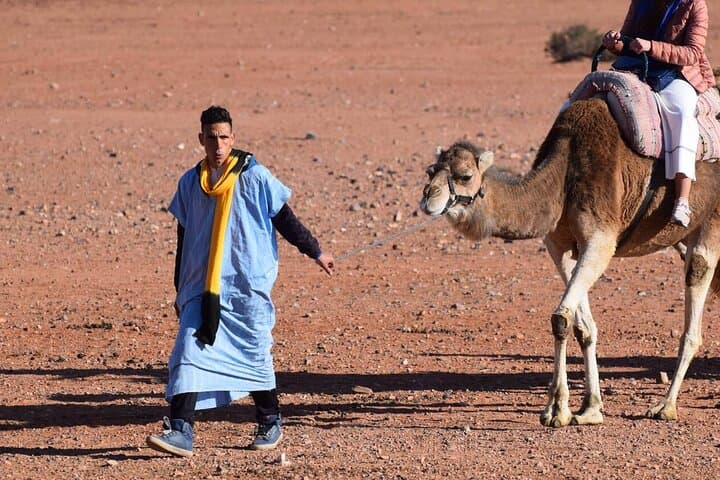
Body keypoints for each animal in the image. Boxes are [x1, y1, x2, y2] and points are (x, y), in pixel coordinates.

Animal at [419, 97, 720, 427]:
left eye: (465, 176)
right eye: (430, 171)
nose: (428, 197)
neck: (562, 177)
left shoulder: (601, 238)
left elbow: (561, 318)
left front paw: (557, 409)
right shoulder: (559, 245)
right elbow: (583, 327)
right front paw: (590, 408)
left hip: (711, 222)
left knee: (696, 284)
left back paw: (666, 406)